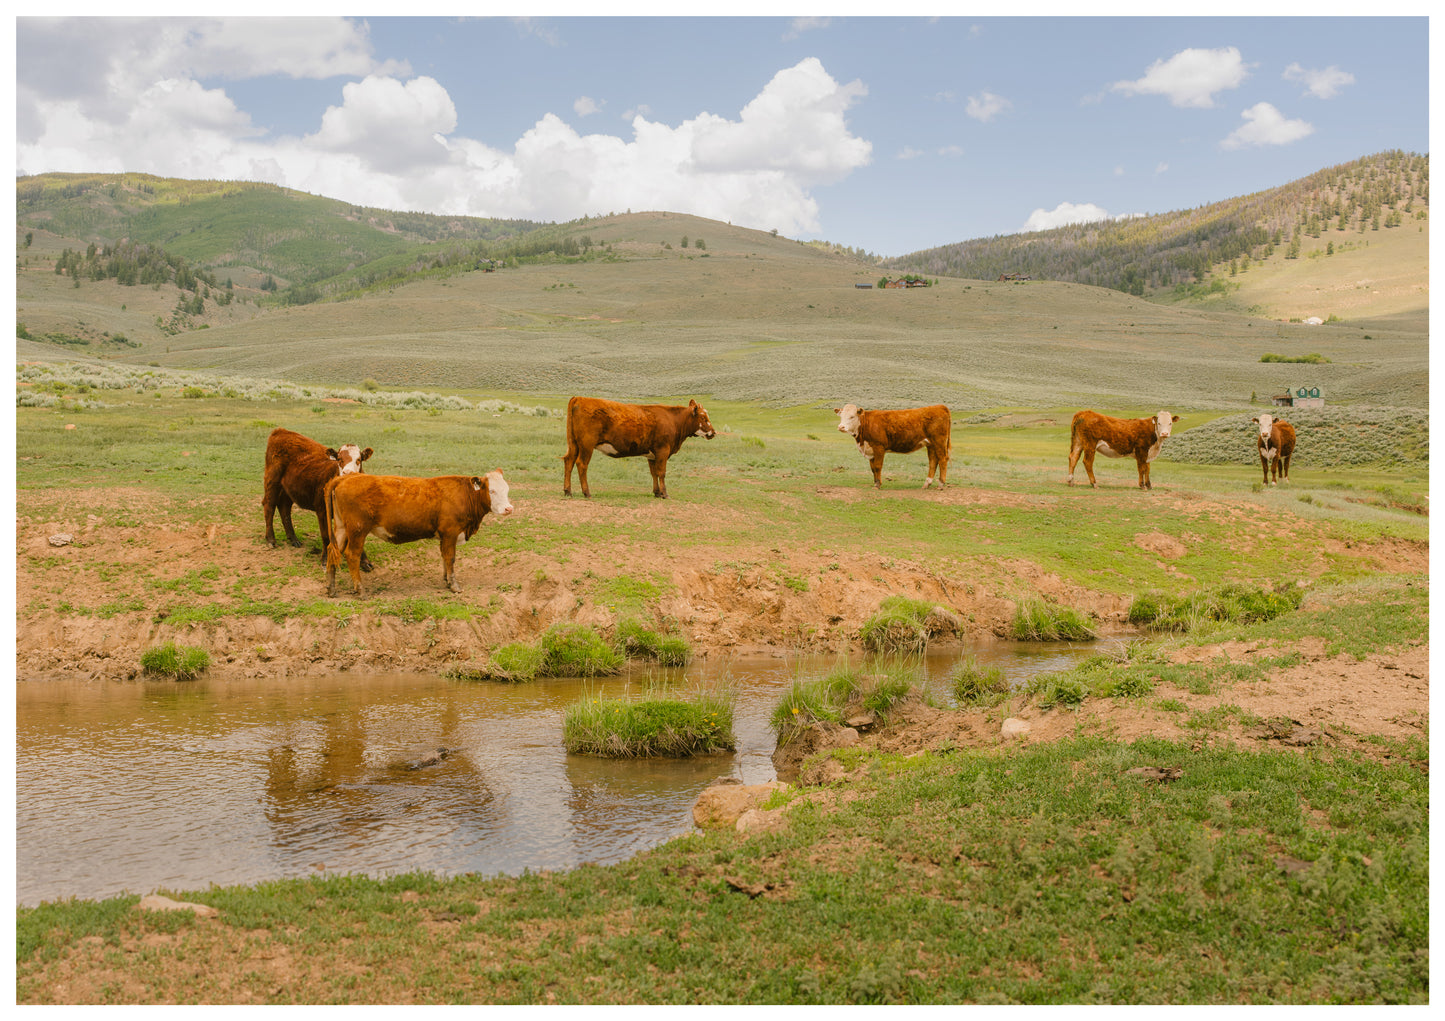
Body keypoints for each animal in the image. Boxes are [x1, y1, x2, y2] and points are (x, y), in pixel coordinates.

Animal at [262, 427, 374, 569]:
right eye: (339, 459)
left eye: (359, 459)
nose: (347, 473)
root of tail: (281, 431)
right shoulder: (322, 510)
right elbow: (326, 536)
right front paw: (325, 559)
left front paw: (364, 561)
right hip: (272, 481)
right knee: (269, 506)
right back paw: (271, 539)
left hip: (288, 488)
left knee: (284, 508)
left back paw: (293, 539)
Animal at [324, 470, 513, 598]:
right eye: (492, 491)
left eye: (507, 489)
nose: (509, 509)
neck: (465, 495)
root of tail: (346, 477)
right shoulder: (450, 532)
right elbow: (450, 558)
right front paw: (454, 585)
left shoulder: (444, 536)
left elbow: (444, 558)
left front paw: (446, 580)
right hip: (358, 530)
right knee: (352, 555)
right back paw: (360, 590)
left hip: (341, 529)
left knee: (333, 551)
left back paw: (331, 588)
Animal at [562, 396, 716, 499]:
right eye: (703, 418)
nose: (713, 433)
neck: (674, 421)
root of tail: (579, 398)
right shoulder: (663, 451)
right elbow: (662, 473)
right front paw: (665, 494)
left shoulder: (652, 455)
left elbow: (654, 473)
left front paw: (657, 492)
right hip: (587, 445)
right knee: (582, 464)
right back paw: (587, 492)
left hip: (574, 444)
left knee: (569, 461)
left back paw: (568, 491)